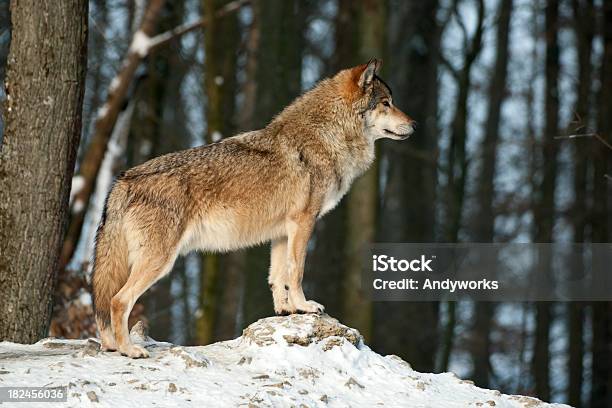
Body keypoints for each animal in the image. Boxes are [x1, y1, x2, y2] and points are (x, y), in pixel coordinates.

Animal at [92, 58, 416, 356]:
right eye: (386, 103)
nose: (415, 125)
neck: (328, 135)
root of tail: (123, 180)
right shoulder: (304, 222)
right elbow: (296, 271)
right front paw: (305, 306)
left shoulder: (283, 232)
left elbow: (278, 276)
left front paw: (286, 311)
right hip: (160, 261)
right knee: (118, 300)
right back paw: (129, 350)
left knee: (105, 301)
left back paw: (111, 346)